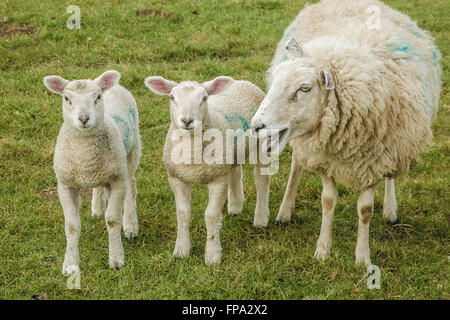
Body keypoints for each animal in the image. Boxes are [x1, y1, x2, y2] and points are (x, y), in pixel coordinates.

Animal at [43, 69, 141, 274]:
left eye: (97, 98)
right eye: (66, 98)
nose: (83, 119)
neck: (85, 157)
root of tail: (116, 86)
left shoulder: (117, 181)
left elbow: (112, 220)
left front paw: (116, 259)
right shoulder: (66, 185)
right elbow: (71, 226)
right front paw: (70, 264)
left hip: (131, 152)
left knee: (131, 185)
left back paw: (130, 225)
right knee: (100, 186)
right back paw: (96, 208)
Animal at [146, 75, 268, 264]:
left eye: (204, 98)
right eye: (172, 97)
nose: (187, 121)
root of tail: (243, 81)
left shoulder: (217, 180)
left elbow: (210, 215)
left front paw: (212, 255)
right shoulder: (177, 178)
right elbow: (182, 213)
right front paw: (181, 250)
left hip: (261, 143)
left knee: (262, 179)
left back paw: (261, 219)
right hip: (230, 153)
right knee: (235, 171)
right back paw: (235, 206)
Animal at [251, 0, 442, 264]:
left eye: (305, 88)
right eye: (277, 79)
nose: (256, 125)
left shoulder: (377, 160)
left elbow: (365, 209)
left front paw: (362, 258)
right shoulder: (324, 158)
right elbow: (328, 201)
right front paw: (322, 250)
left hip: (397, 141)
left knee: (391, 176)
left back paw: (390, 209)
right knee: (297, 164)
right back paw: (285, 210)